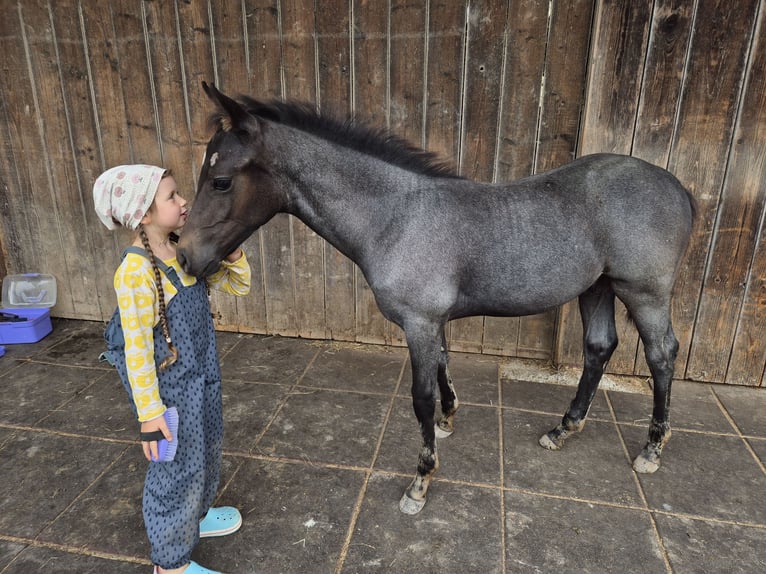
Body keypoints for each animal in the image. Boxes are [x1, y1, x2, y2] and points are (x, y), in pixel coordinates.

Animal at [177, 82, 695, 515]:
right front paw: (449, 419)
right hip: (597, 287)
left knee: (661, 354)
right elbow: (444, 366)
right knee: (599, 347)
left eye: (221, 180)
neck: (396, 216)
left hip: (643, 292)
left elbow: (421, 398)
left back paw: (651, 449)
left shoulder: (419, 321)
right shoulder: (432, 322)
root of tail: (676, 186)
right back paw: (563, 429)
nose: (184, 256)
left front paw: (420, 482)